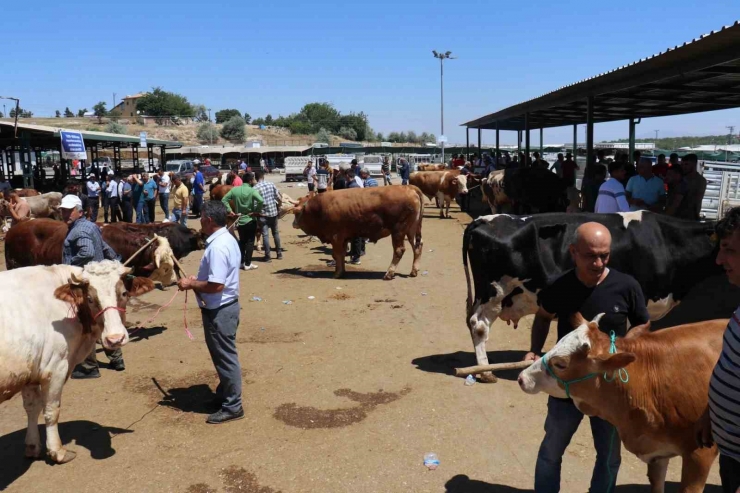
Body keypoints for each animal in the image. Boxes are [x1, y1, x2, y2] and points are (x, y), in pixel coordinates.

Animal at [0, 260, 155, 464]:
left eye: (123, 293)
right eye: (89, 298)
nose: (115, 339)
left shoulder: (29, 371)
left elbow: (32, 408)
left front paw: (33, 447)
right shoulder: (55, 368)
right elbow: (51, 410)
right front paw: (57, 451)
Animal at [292, 185, 424, 278]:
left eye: (296, 212)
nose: (293, 224)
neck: (320, 208)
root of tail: (409, 187)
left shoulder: (336, 237)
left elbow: (336, 254)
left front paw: (337, 273)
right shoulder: (344, 238)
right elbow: (341, 254)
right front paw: (342, 270)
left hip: (398, 230)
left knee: (399, 250)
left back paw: (389, 273)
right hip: (411, 230)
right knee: (417, 246)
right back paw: (414, 271)